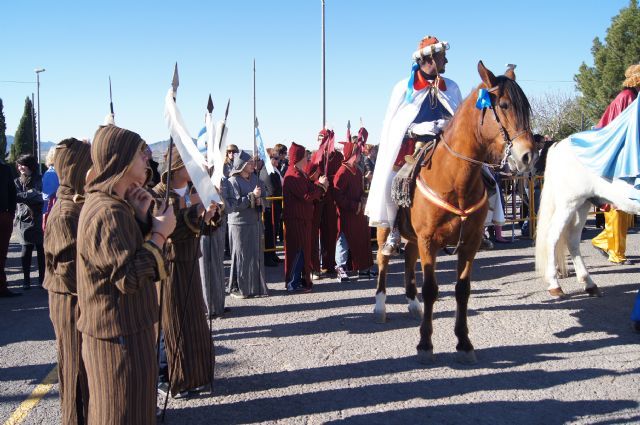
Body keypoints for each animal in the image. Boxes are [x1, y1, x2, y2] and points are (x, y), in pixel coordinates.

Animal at [372, 60, 536, 364]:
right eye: (504, 105)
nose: (528, 156)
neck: (455, 180)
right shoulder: (430, 241)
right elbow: (432, 289)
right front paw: (425, 344)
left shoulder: (468, 243)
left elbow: (462, 290)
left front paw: (464, 342)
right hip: (385, 227)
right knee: (382, 260)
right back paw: (380, 307)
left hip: (414, 237)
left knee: (409, 258)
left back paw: (413, 304)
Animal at [532, 137, 640, 296]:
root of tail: (559, 145)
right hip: (569, 204)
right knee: (552, 237)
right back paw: (554, 284)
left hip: (583, 205)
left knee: (572, 240)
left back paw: (589, 283)